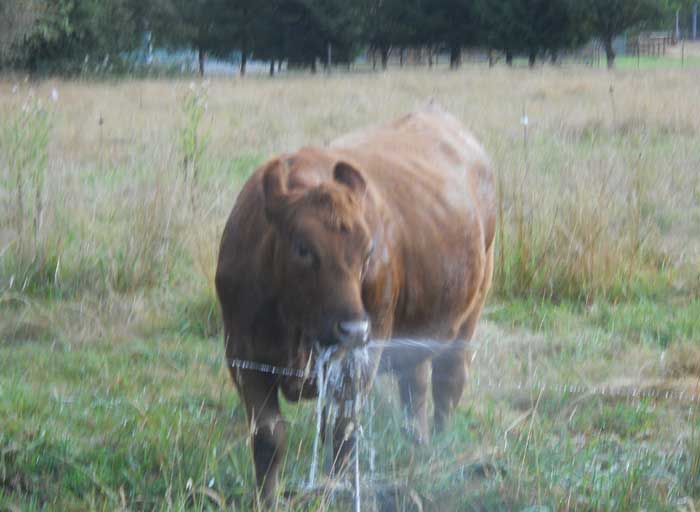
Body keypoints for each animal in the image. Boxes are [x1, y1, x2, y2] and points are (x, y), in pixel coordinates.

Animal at [216, 103, 494, 500]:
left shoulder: (360, 356)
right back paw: (418, 441)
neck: (295, 327)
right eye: (303, 248)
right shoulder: (243, 357)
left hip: (468, 315)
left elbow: (343, 430)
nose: (353, 328)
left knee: (448, 380)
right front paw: (265, 499)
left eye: (368, 251)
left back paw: (439, 446)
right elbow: (268, 436)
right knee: (415, 383)